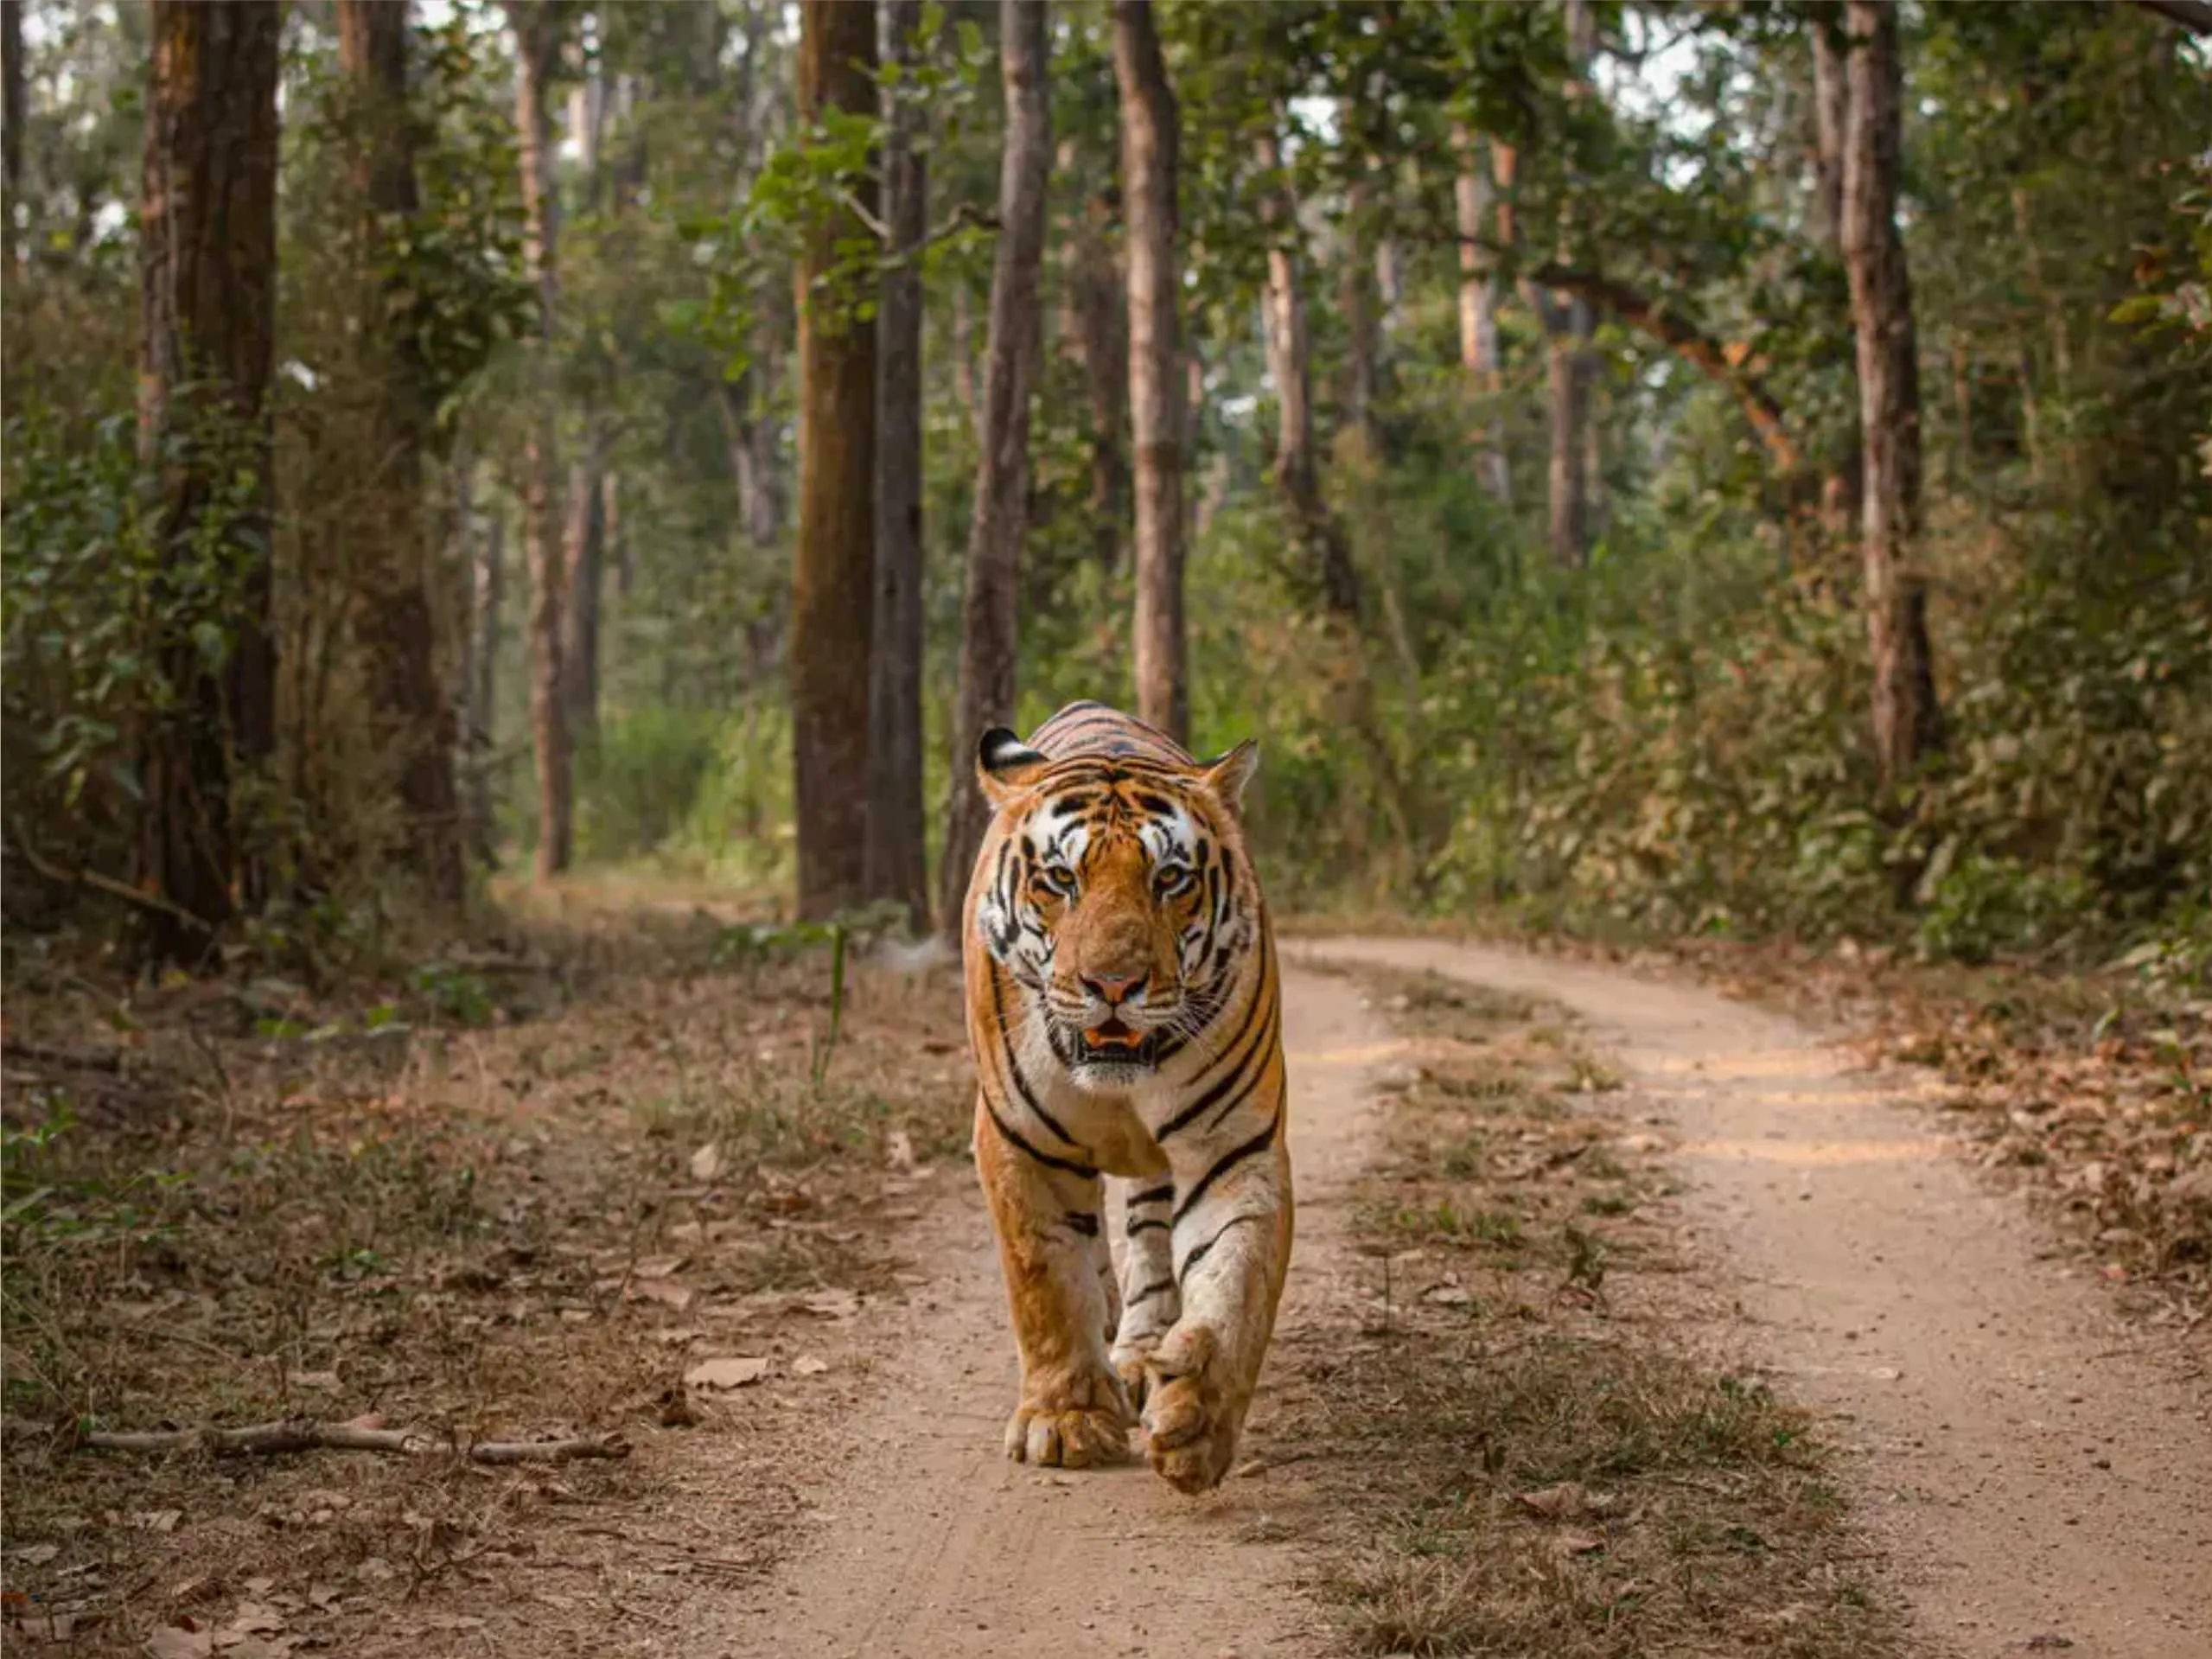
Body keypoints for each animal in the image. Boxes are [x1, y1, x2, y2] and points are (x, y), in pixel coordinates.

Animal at [955, 694, 1291, 1503]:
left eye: (1169, 878)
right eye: (1059, 878)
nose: (1113, 984)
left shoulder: (1233, 1146)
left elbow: (1235, 1280)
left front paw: (1198, 1414)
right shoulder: (1019, 1143)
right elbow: (1046, 1280)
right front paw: (1066, 1419)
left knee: (1147, 1236)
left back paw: (1141, 1350)